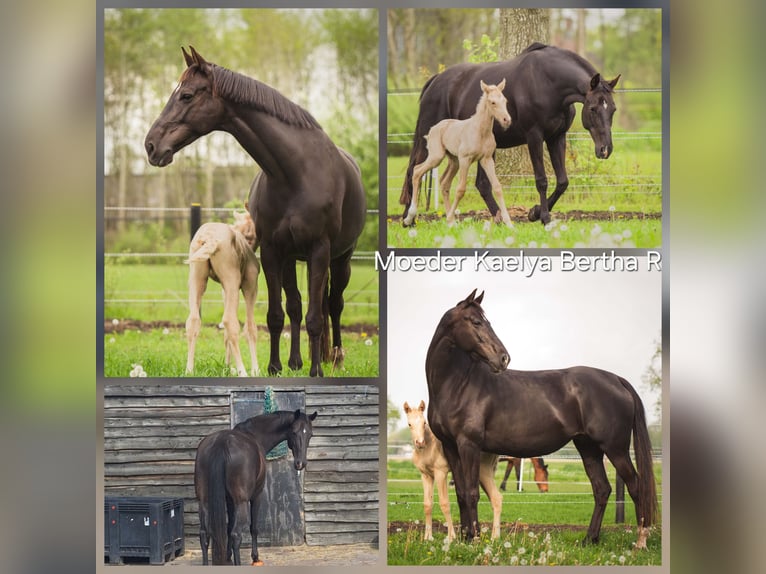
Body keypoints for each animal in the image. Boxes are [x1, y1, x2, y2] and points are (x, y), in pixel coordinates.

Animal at [184, 210, 259, 377]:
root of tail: (209, 238)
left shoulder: (224, 290)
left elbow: (225, 334)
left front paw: (227, 367)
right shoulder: (250, 284)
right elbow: (250, 327)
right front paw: (255, 370)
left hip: (196, 277)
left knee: (193, 320)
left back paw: (189, 370)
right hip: (232, 278)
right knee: (230, 322)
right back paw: (243, 371)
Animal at [194, 409, 317, 565]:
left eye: (310, 434)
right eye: (294, 432)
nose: (301, 463)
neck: (254, 435)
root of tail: (221, 442)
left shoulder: (230, 500)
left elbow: (228, 526)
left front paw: (228, 557)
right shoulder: (256, 496)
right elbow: (253, 528)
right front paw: (255, 557)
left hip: (204, 501)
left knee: (204, 534)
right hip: (242, 502)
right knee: (236, 535)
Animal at [402, 79, 512, 228]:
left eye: (505, 101)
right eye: (492, 102)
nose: (507, 120)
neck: (480, 131)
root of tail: (432, 129)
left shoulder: (486, 159)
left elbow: (497, 187)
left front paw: (510, 224)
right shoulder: (465, 159)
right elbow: (460, 189)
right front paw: (449, 218)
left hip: (454, 161)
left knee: (444, 182)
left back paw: (451, 223)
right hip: (437, 157)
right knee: (417, 171)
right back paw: (410, 217)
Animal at [403, 400, 502, 541]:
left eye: (424, 423)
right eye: (409, 424)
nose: (420, 443)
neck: (429, 448)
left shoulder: (441, 473)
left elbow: (444, 503)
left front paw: (451, 537)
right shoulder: (426, 475)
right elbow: (427, 505)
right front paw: (428, 538)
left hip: (482, 471)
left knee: (496, 498)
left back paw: (493, 538)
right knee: (496, 498)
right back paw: (495, 537)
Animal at [425, 290, 657, 548]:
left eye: (486, 321)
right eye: (476, 322)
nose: (503, 358)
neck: (457, 384)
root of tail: (617, 379)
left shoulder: (469, 445)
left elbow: (472, 493)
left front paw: (473, 539)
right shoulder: (451, 447)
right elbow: (461, 494)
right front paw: (465, 538)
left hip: (615, 449)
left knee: (635, 486)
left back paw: (640, 541)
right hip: (588, 448)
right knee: (602, 489)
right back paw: (589, 539)